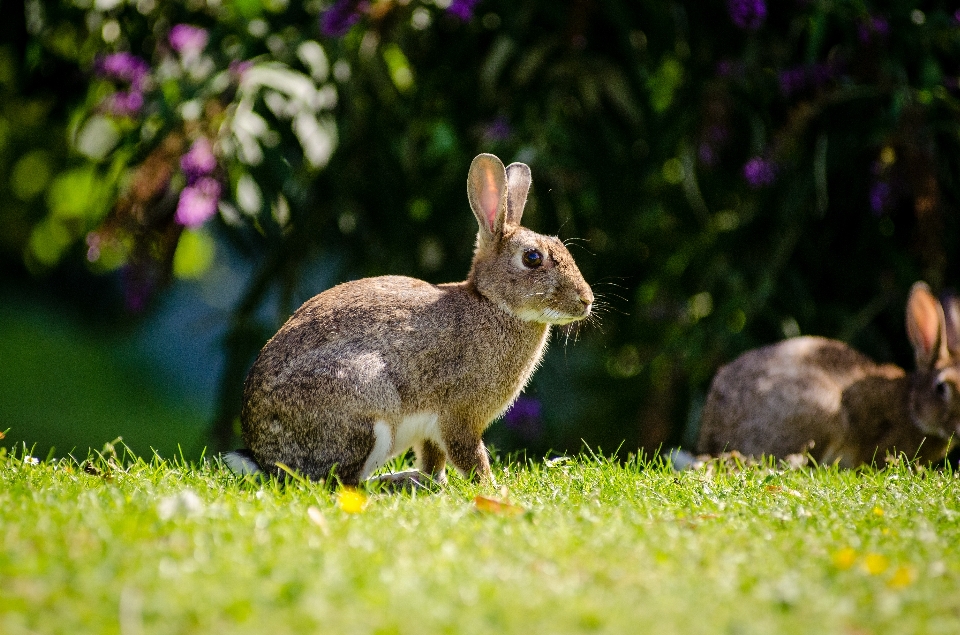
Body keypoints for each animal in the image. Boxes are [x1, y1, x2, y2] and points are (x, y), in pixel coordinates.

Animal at [227, 153, 592, 486]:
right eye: (532, 258)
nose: (586, 301)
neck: (492, 303)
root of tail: (265, 458)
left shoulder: (433, 430)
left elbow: (434, 458)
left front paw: (434, 482)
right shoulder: (458, 416)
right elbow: (469, 455)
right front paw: (491, 488)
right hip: (367, 405)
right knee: (340, 482)